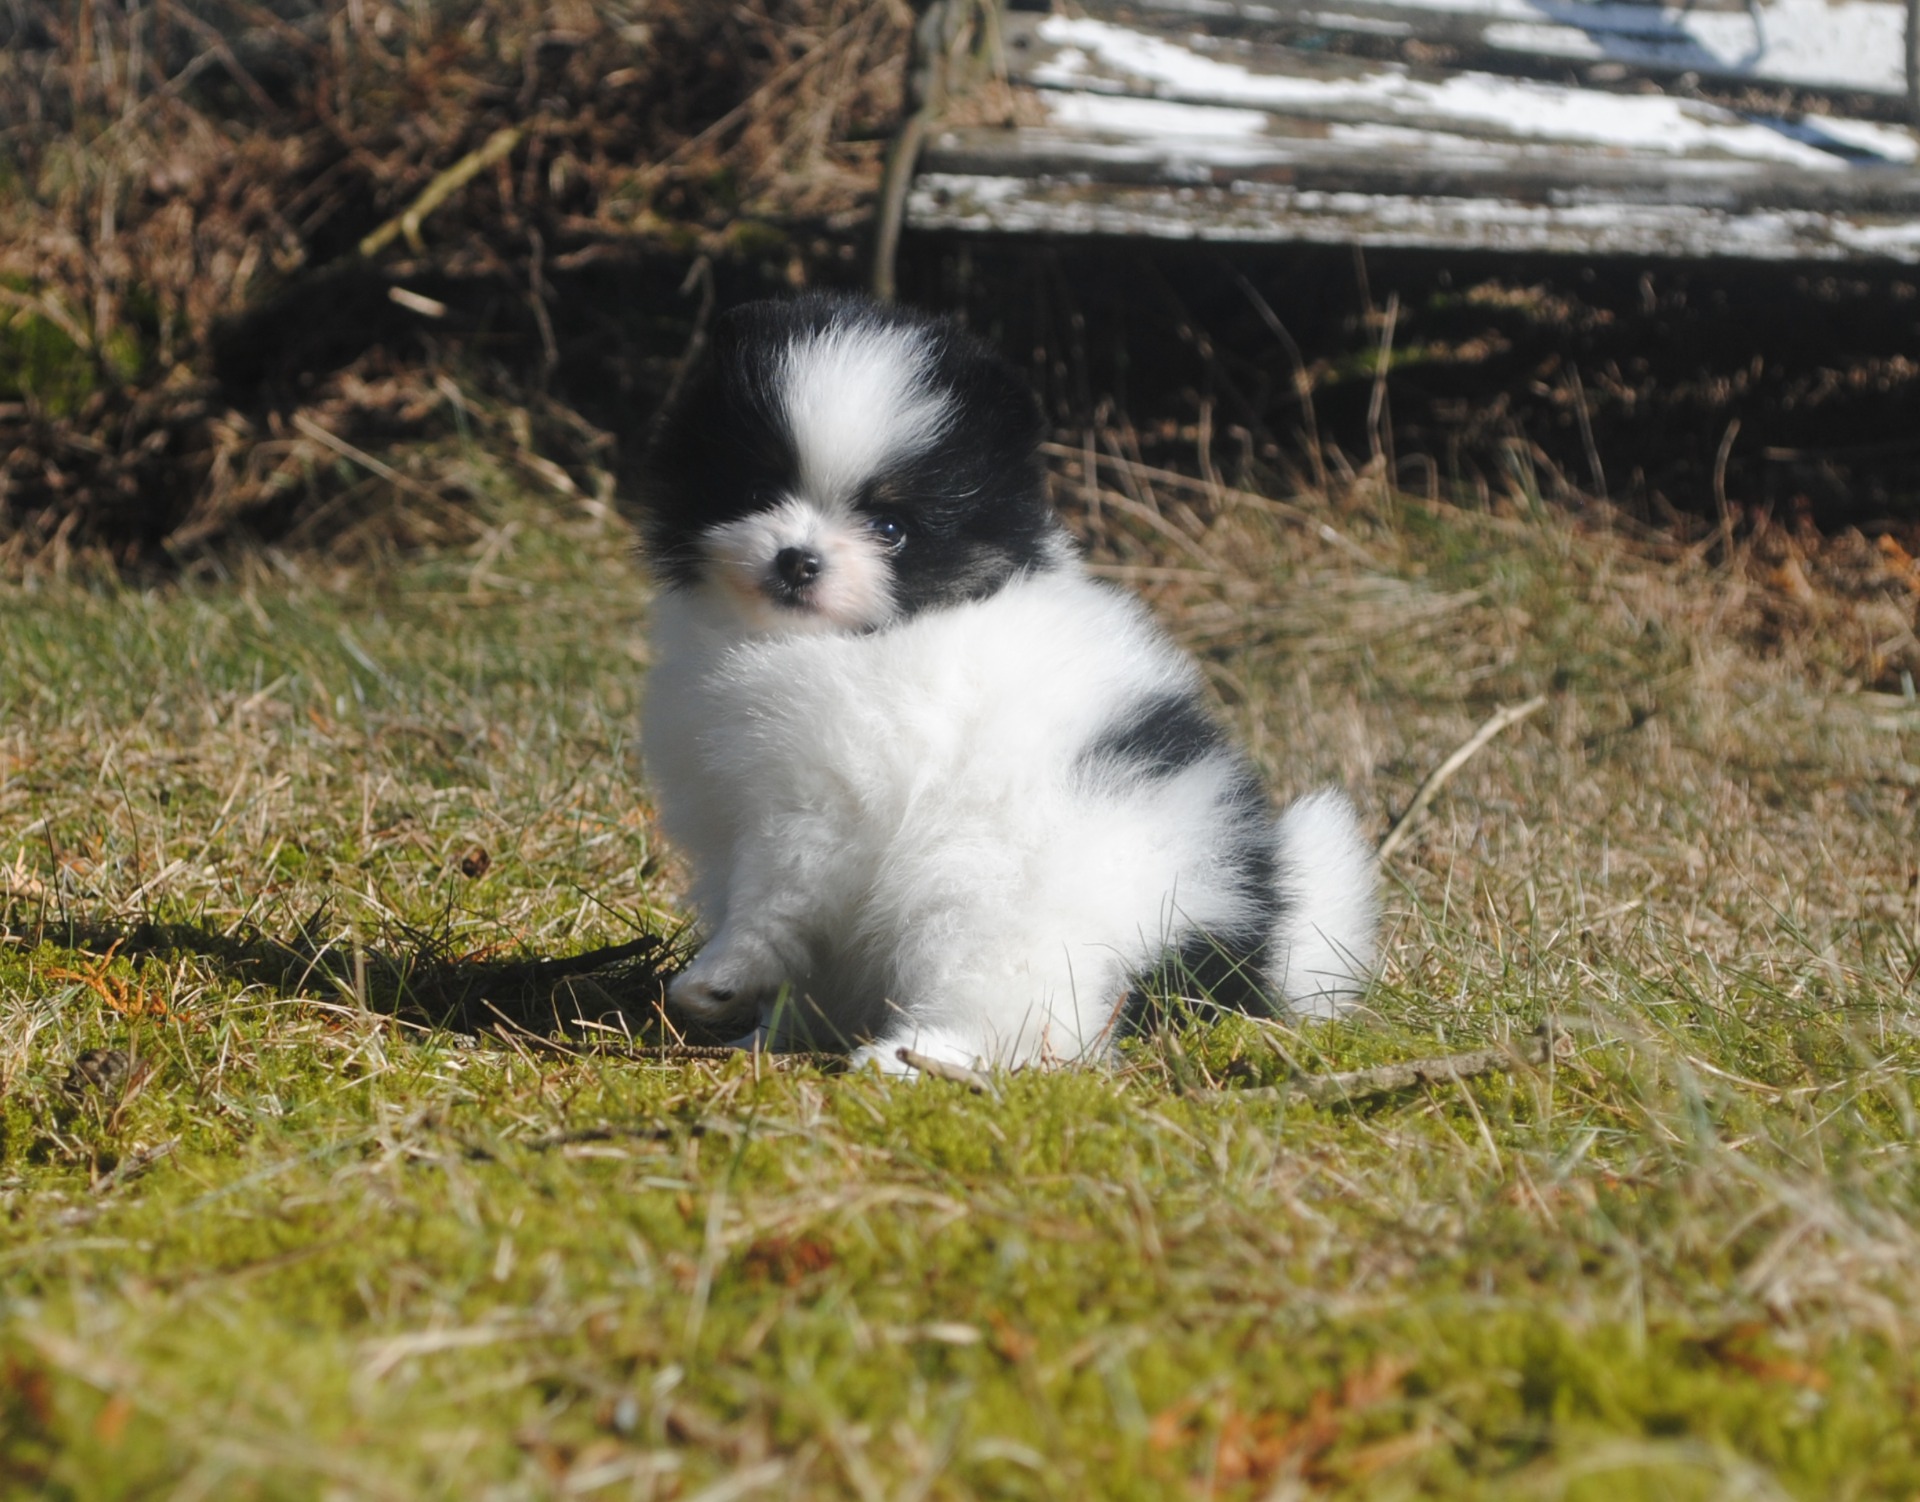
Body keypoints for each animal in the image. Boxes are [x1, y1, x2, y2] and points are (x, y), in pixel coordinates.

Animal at [636, 294, 1377, 1073]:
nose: (796, 560)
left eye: (891, 528)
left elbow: (775, 898)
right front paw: (765, 1033)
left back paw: (911, 1060)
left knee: (1021, 1015)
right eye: (757, 490)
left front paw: (720, 978)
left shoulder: (821, 799)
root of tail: (1234, 931)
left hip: (1000, 905)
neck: (841, 641)